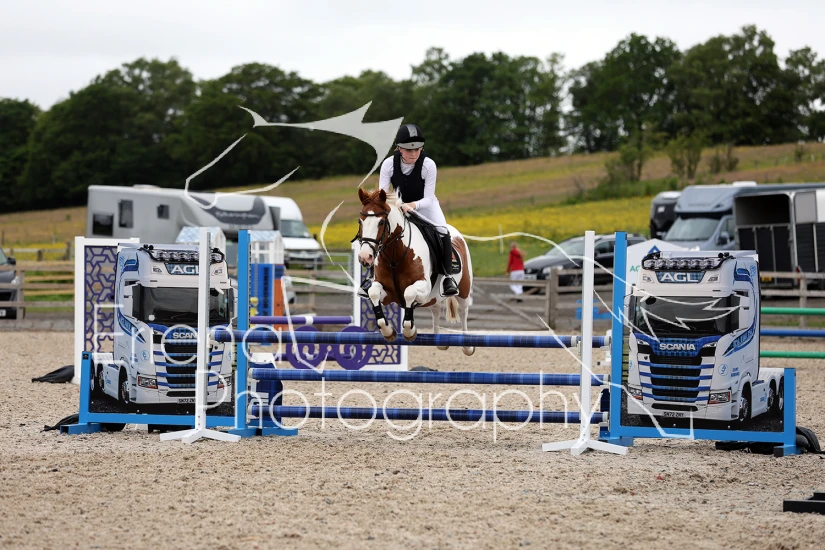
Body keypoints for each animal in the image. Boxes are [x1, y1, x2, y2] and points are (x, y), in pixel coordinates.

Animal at [355, 187, 475, 356]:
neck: (395, 255)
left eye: (381, 222)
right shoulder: (386, 293)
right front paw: (388, 331)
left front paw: (409, 331)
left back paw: (467, 346)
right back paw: (439, 340)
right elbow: (373, 293)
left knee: (464, 310)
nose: (365, 257)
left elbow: (409, 293)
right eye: (360, 221)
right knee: (435, 308)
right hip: (432, 297)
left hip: (463, 289)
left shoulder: (423, 286)